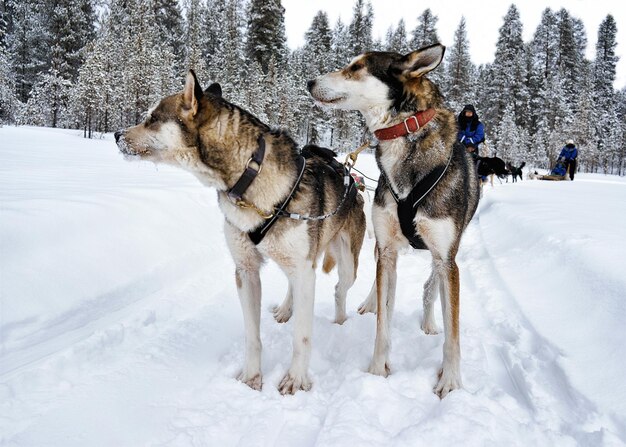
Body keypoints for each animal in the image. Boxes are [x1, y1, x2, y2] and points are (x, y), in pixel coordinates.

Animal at [114, 71, 364, 396]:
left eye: (153, 118)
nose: (117, 134)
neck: (250, 176)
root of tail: (352, 181)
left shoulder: (302, 267)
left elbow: (302, 336)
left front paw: (296, 379)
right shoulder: (246, 270)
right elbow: (252, 335)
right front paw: (251, 377)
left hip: (345, 264)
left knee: (338, 289)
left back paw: (340, 320)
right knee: (293, 286)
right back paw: (287, 309)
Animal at [308, 43, 478, 398]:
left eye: (357, 67)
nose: (309, 82)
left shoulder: (447, 258)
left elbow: (452, 330)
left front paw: (450, 381)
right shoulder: (385, 248)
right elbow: (382, 323)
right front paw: (377, 369)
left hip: (442, 257)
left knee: (431, 287)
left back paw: (428, 321)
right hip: (384, 250)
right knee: (383, 288)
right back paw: (371, 302)